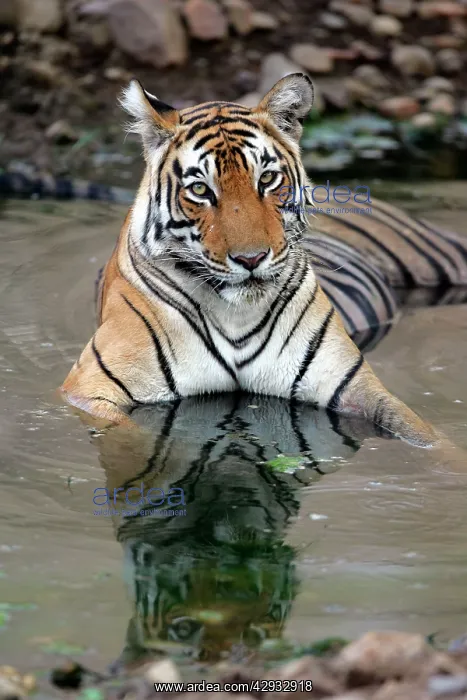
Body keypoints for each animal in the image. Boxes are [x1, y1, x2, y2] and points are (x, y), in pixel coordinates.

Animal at [58, 73, 467, 448]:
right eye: (200, 189)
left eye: (267, 179)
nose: (251, 258)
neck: (236, 316)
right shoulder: (89, 387)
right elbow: (130, 435)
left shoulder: (353, 385)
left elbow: (429, 437)